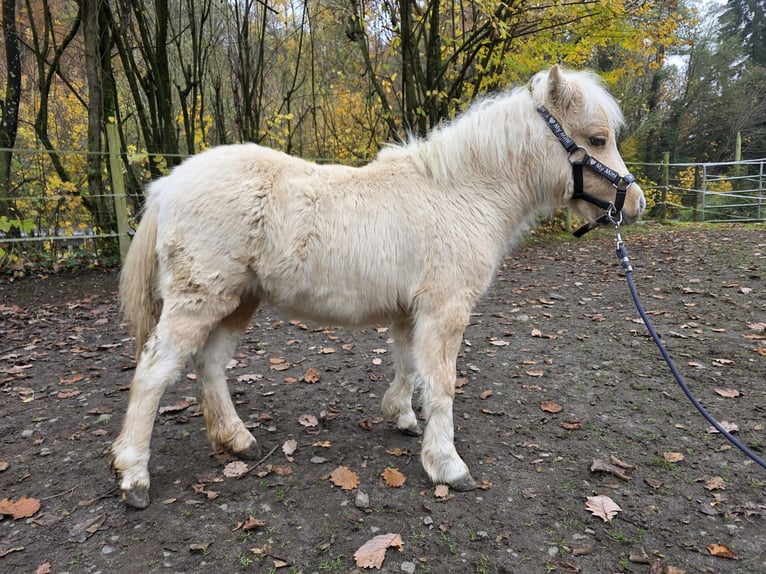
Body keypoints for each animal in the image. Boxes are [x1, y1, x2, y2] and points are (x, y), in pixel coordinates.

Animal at [111, 65, 645, 508]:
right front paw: (447, 465)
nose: (636, 203)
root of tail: (167, 185)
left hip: (238, 301)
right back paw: (134, 476)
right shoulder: (445, 311)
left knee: (211, 365)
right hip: (198, 301)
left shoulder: (412, 311)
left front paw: (402, 418)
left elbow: (408, 366)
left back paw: (237, 439)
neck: (459, 194)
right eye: (597, 139)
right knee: (154, 373)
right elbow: (442, 382)